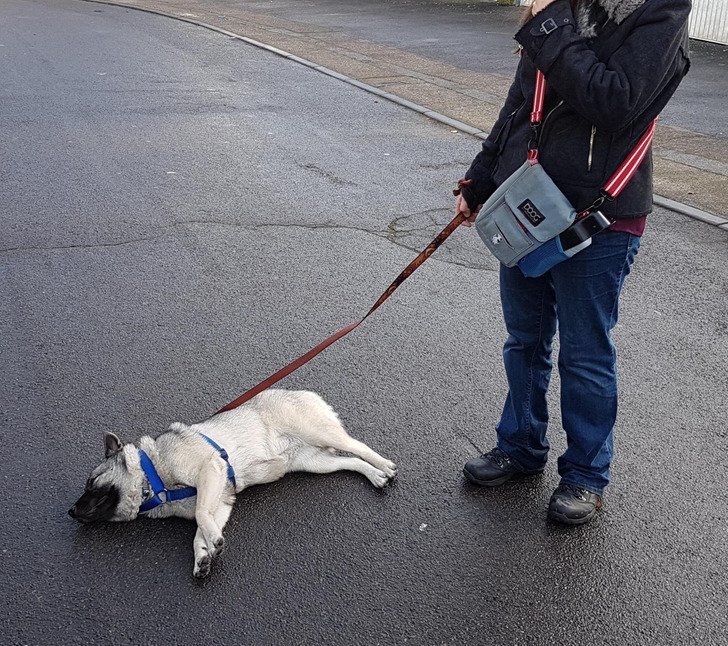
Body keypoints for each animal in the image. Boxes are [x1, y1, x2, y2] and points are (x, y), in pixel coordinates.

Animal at [69, 392, 398, 580]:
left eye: (91, 483)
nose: (71, 511)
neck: (154, 478)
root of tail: (302, 391)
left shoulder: (210, 473)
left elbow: (201, 515)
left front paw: (212, 541)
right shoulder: (221, 500)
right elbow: (201, 527)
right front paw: (203, 554)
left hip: (319, 432)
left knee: (357, 446)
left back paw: (384, 466)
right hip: (314, 462)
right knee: (349, 461)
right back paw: (374, 475)